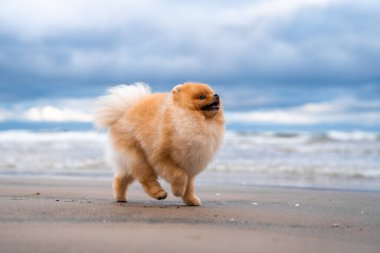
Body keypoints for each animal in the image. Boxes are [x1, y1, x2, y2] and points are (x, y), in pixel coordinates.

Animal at [94, 83, 224, 206]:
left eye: (212, 92)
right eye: (202, 96)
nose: (216, 95)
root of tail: (123, 113)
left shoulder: (190, 164)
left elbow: (189, 185)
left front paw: (191, 200)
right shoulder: (163, 158)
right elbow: (180, 175)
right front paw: (178, 191)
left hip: (130, 161)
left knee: (121, 178)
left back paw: (120, 197)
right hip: (138, 156)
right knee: (147, 178)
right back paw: (159, 193)